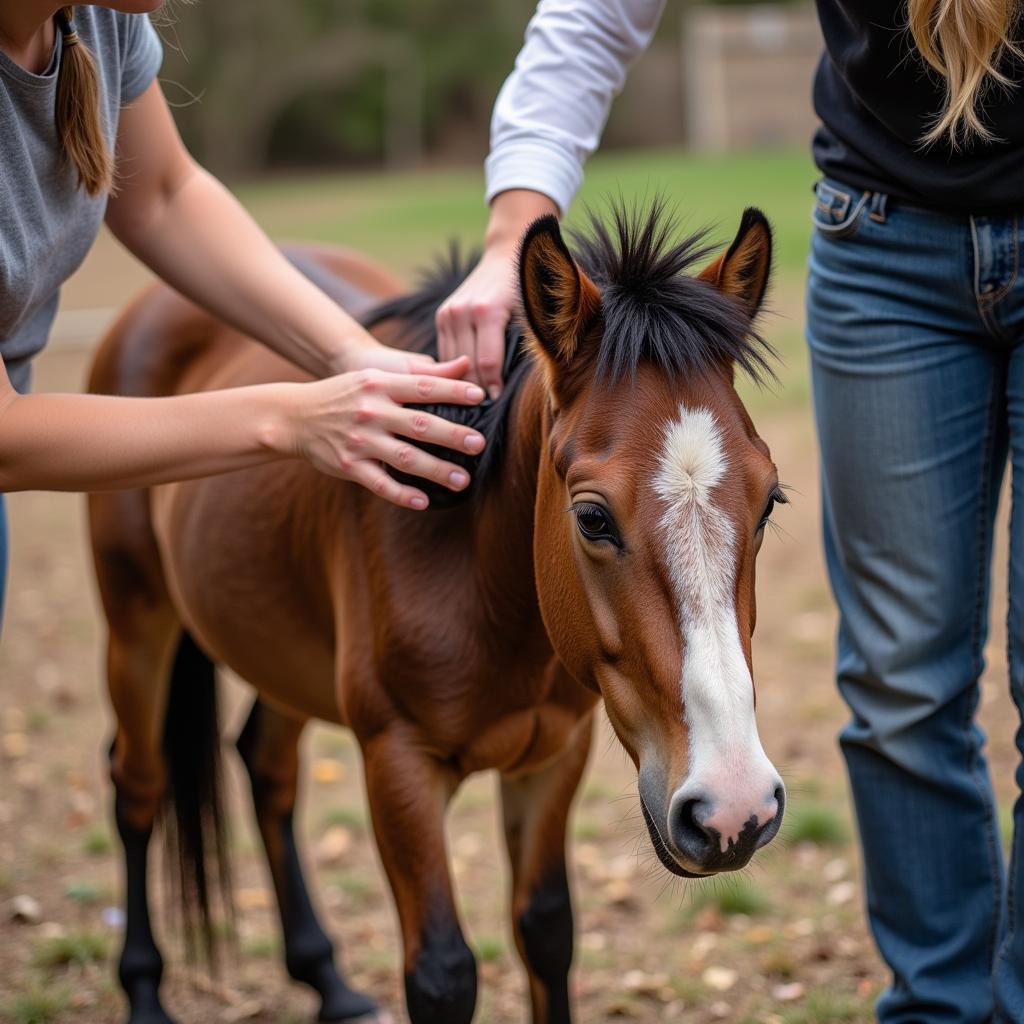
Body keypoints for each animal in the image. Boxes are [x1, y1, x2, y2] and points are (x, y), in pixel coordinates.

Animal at [92, 201, 786, 1024]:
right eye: (592, 518)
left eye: (770, 501)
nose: (734, 808)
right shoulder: (399, 765)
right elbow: (443, 971)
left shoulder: (554, 757)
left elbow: (546, 931)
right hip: (137, 625)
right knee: (137, 785)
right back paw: (143, 990)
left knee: (266, 768)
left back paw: (325, 979)